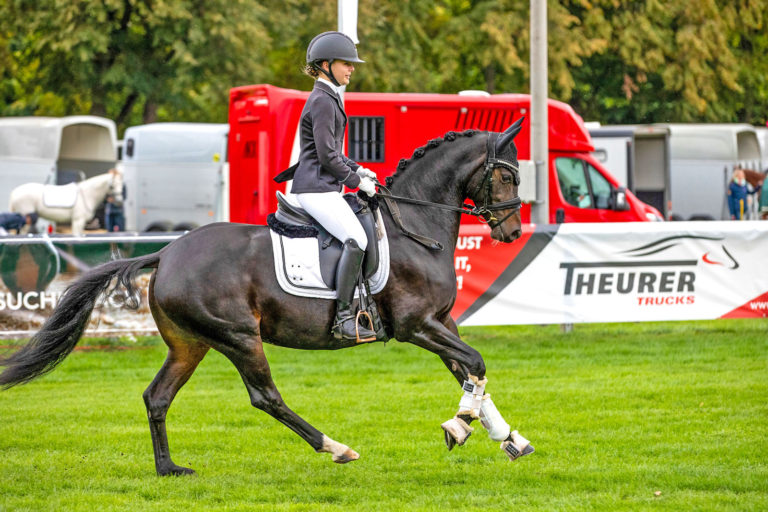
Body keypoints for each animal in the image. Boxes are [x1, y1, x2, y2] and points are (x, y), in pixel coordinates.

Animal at [0, 120, 528, 476]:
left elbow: (470, 372)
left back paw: (169, 469)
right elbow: (475, 364)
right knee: (265, 396)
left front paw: (508, 437)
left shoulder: (441, 323)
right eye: (507, 177)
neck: (415, 228)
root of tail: (167, 252)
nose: (512, 231)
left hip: (191, 344)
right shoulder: (417, 325)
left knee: (157, 396)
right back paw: (335, 447)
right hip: (238, 336)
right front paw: (460, 426)